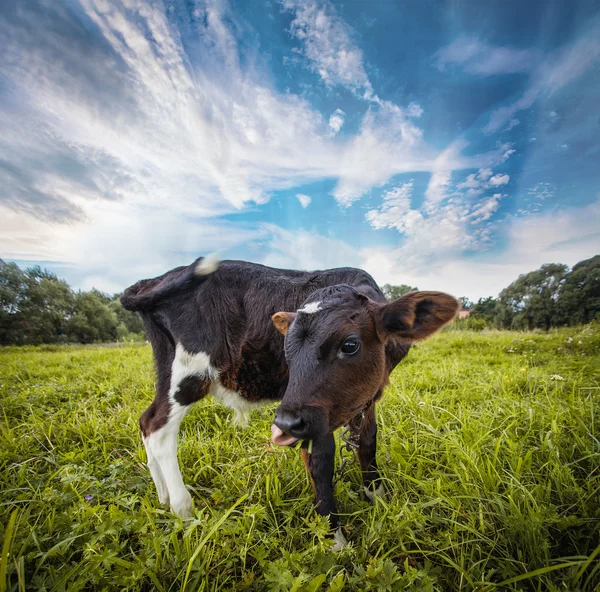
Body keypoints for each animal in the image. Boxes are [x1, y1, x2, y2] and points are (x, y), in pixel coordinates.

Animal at [123, 256, 460, 540]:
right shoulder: (313, 415)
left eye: (350, 344)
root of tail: (155, 280)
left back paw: (164, 498)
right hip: (189, 373)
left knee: (146, 421)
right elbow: (322, 462)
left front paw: (378, 498)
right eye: (286, 347)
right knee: (160, 429)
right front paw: (335, 539)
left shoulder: (365, 399)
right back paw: (183, 509)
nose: (283, 423)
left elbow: (368, 442)